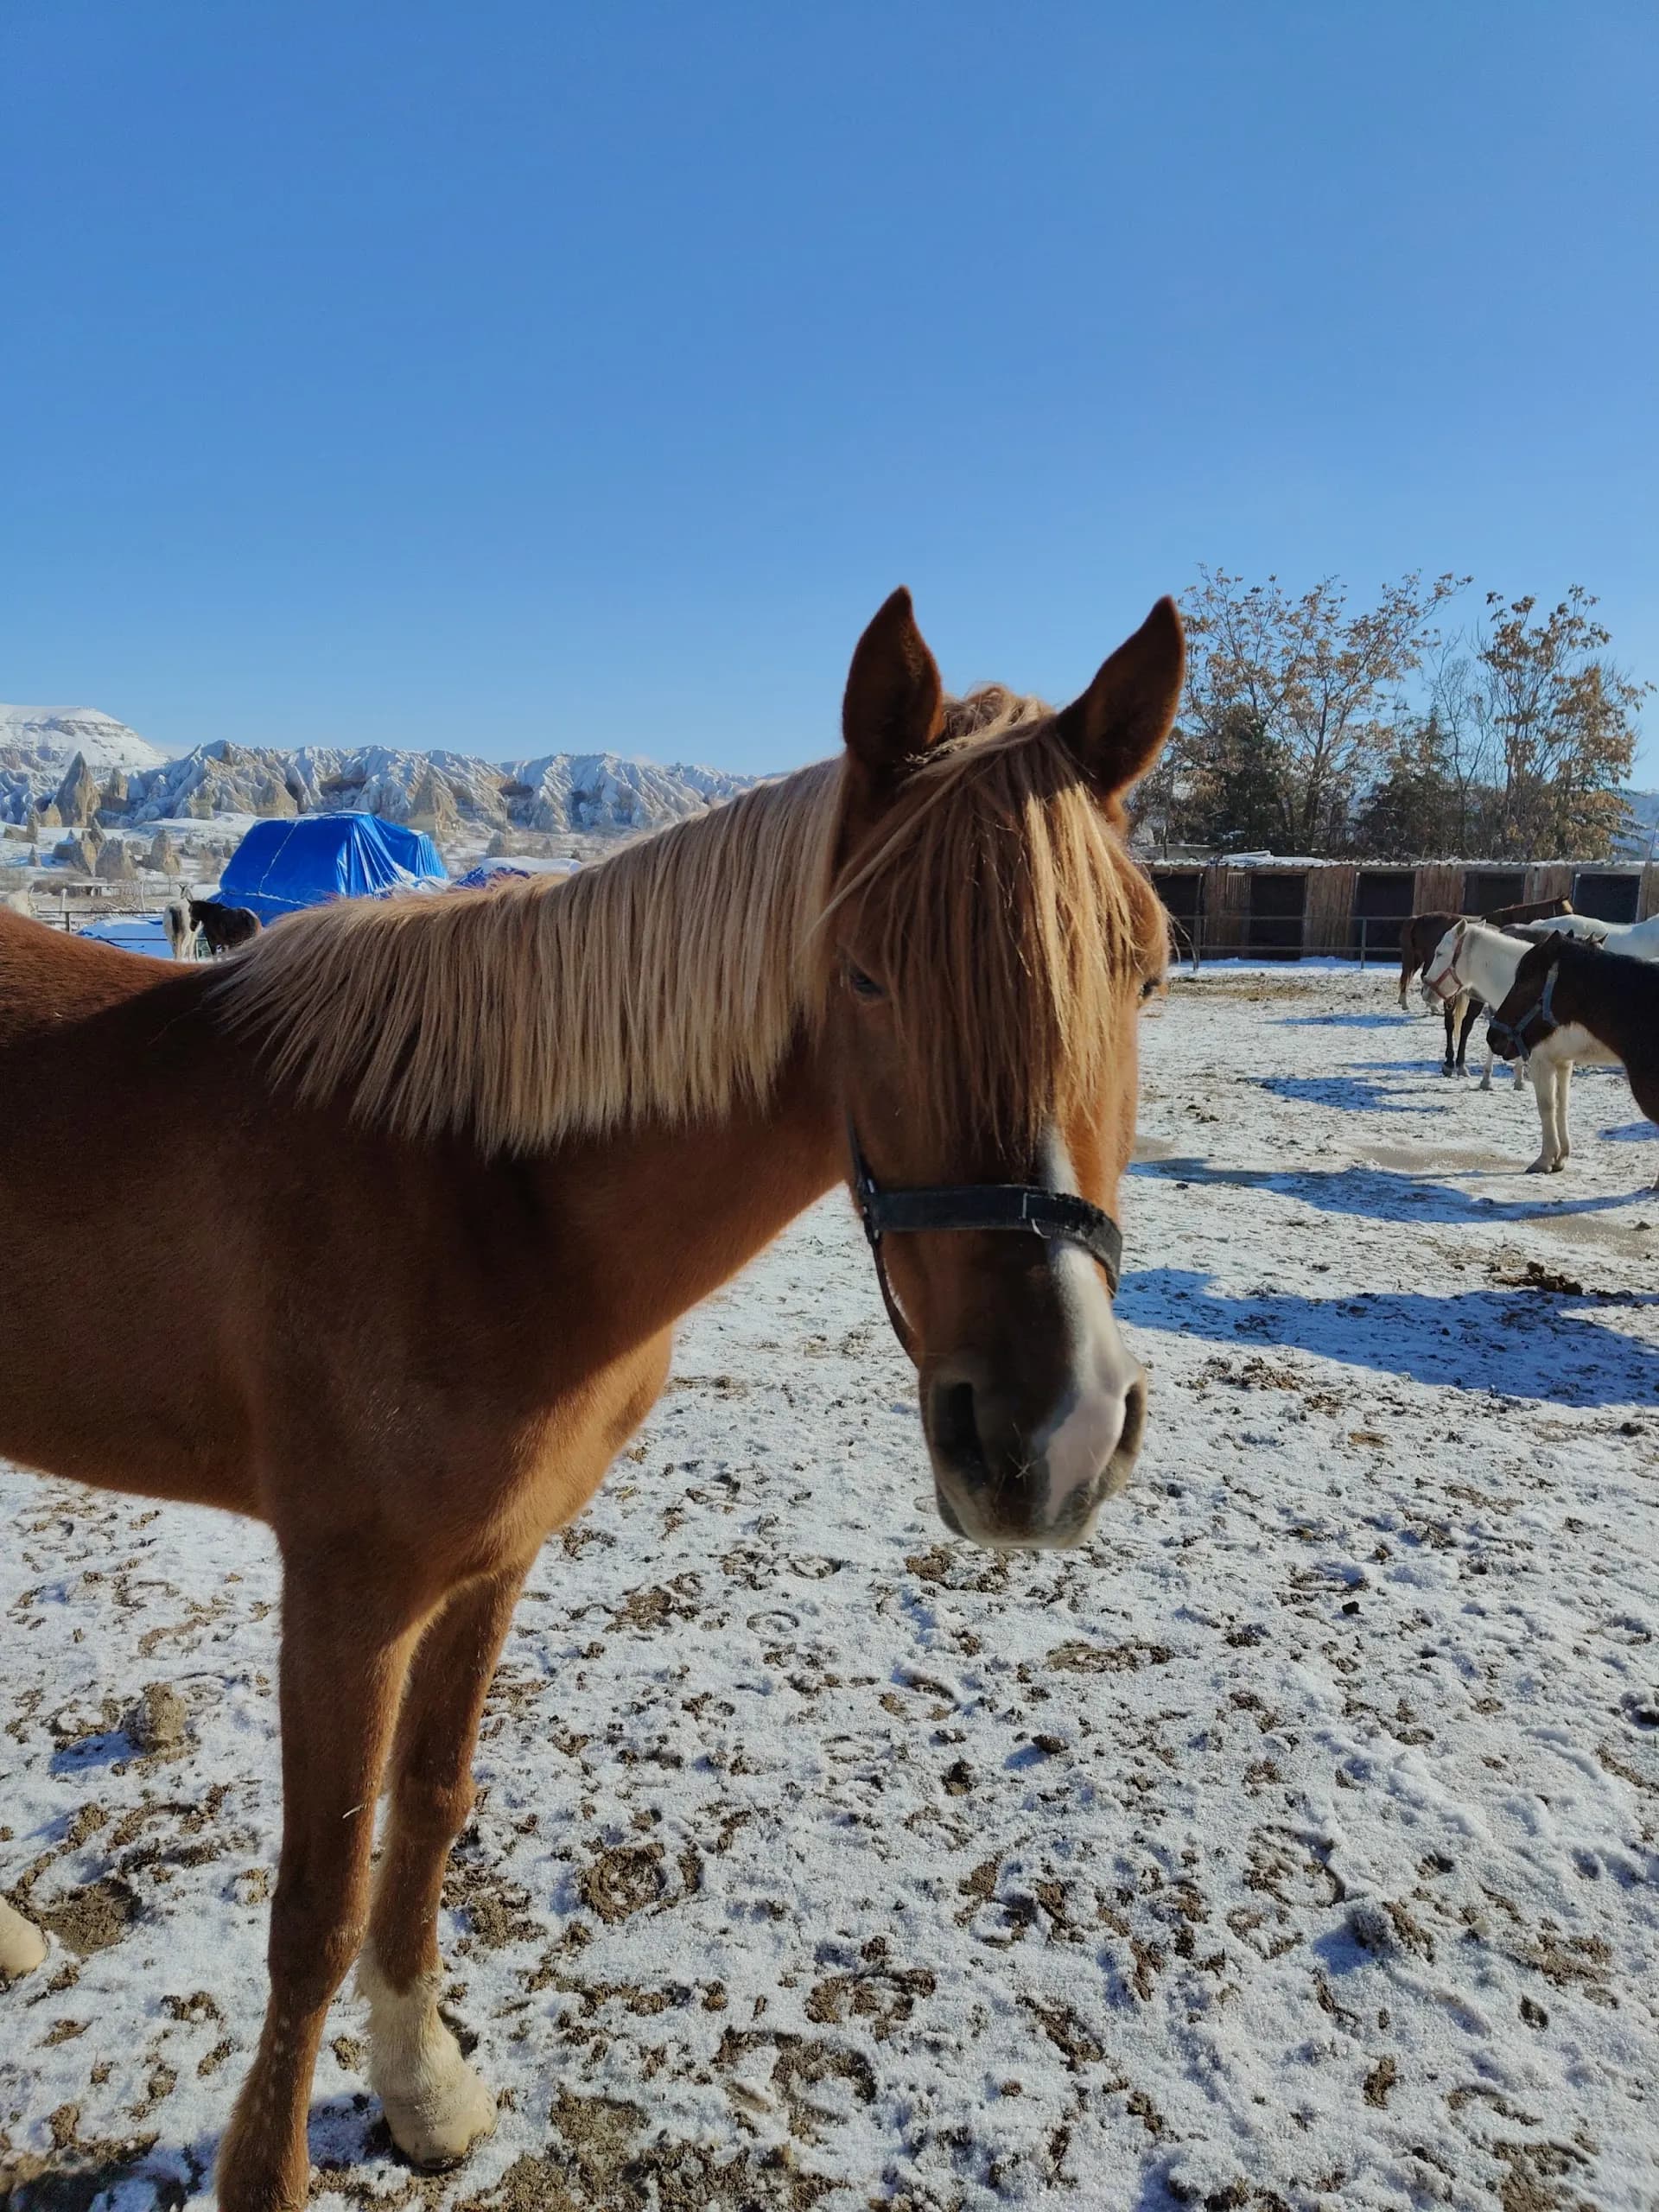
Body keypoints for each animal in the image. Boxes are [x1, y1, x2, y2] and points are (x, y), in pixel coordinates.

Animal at [0, 588, 1182, 2212]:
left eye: (1147, 970)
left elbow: (431, 1813)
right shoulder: (348, 1598)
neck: (485, 1192)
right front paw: (275, 2167)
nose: (1050, 1433)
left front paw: (425, 2089)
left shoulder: (488, 1567)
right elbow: (316, 1899)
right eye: (866, 972)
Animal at [1488, 935, 1659, 1190]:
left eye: (1525, 983)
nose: (1493, 1037)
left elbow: (1548, 1105)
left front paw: (1546, 1160)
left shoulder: (1544, 1061)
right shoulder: (1560, 1062)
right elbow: (1560, 1104)